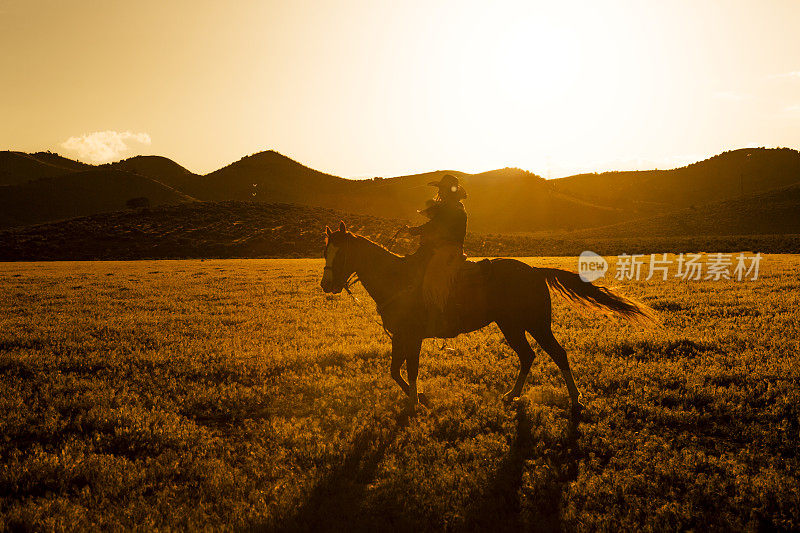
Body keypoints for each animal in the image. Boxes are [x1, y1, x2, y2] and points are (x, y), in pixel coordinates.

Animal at [322, 219, 652, 416]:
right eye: (325, 252)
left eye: (341, 253)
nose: (327, 285)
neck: (396, 278)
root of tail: (536, 271)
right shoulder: (400, 336)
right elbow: (394, 371)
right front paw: (422, 398)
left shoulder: (413, 337)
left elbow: (411, 371)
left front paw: (415, 404)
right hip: (511, 325)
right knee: (528, 356)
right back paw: (512, 395)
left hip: (536, 324)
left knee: (558, 354)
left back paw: (575, 399)